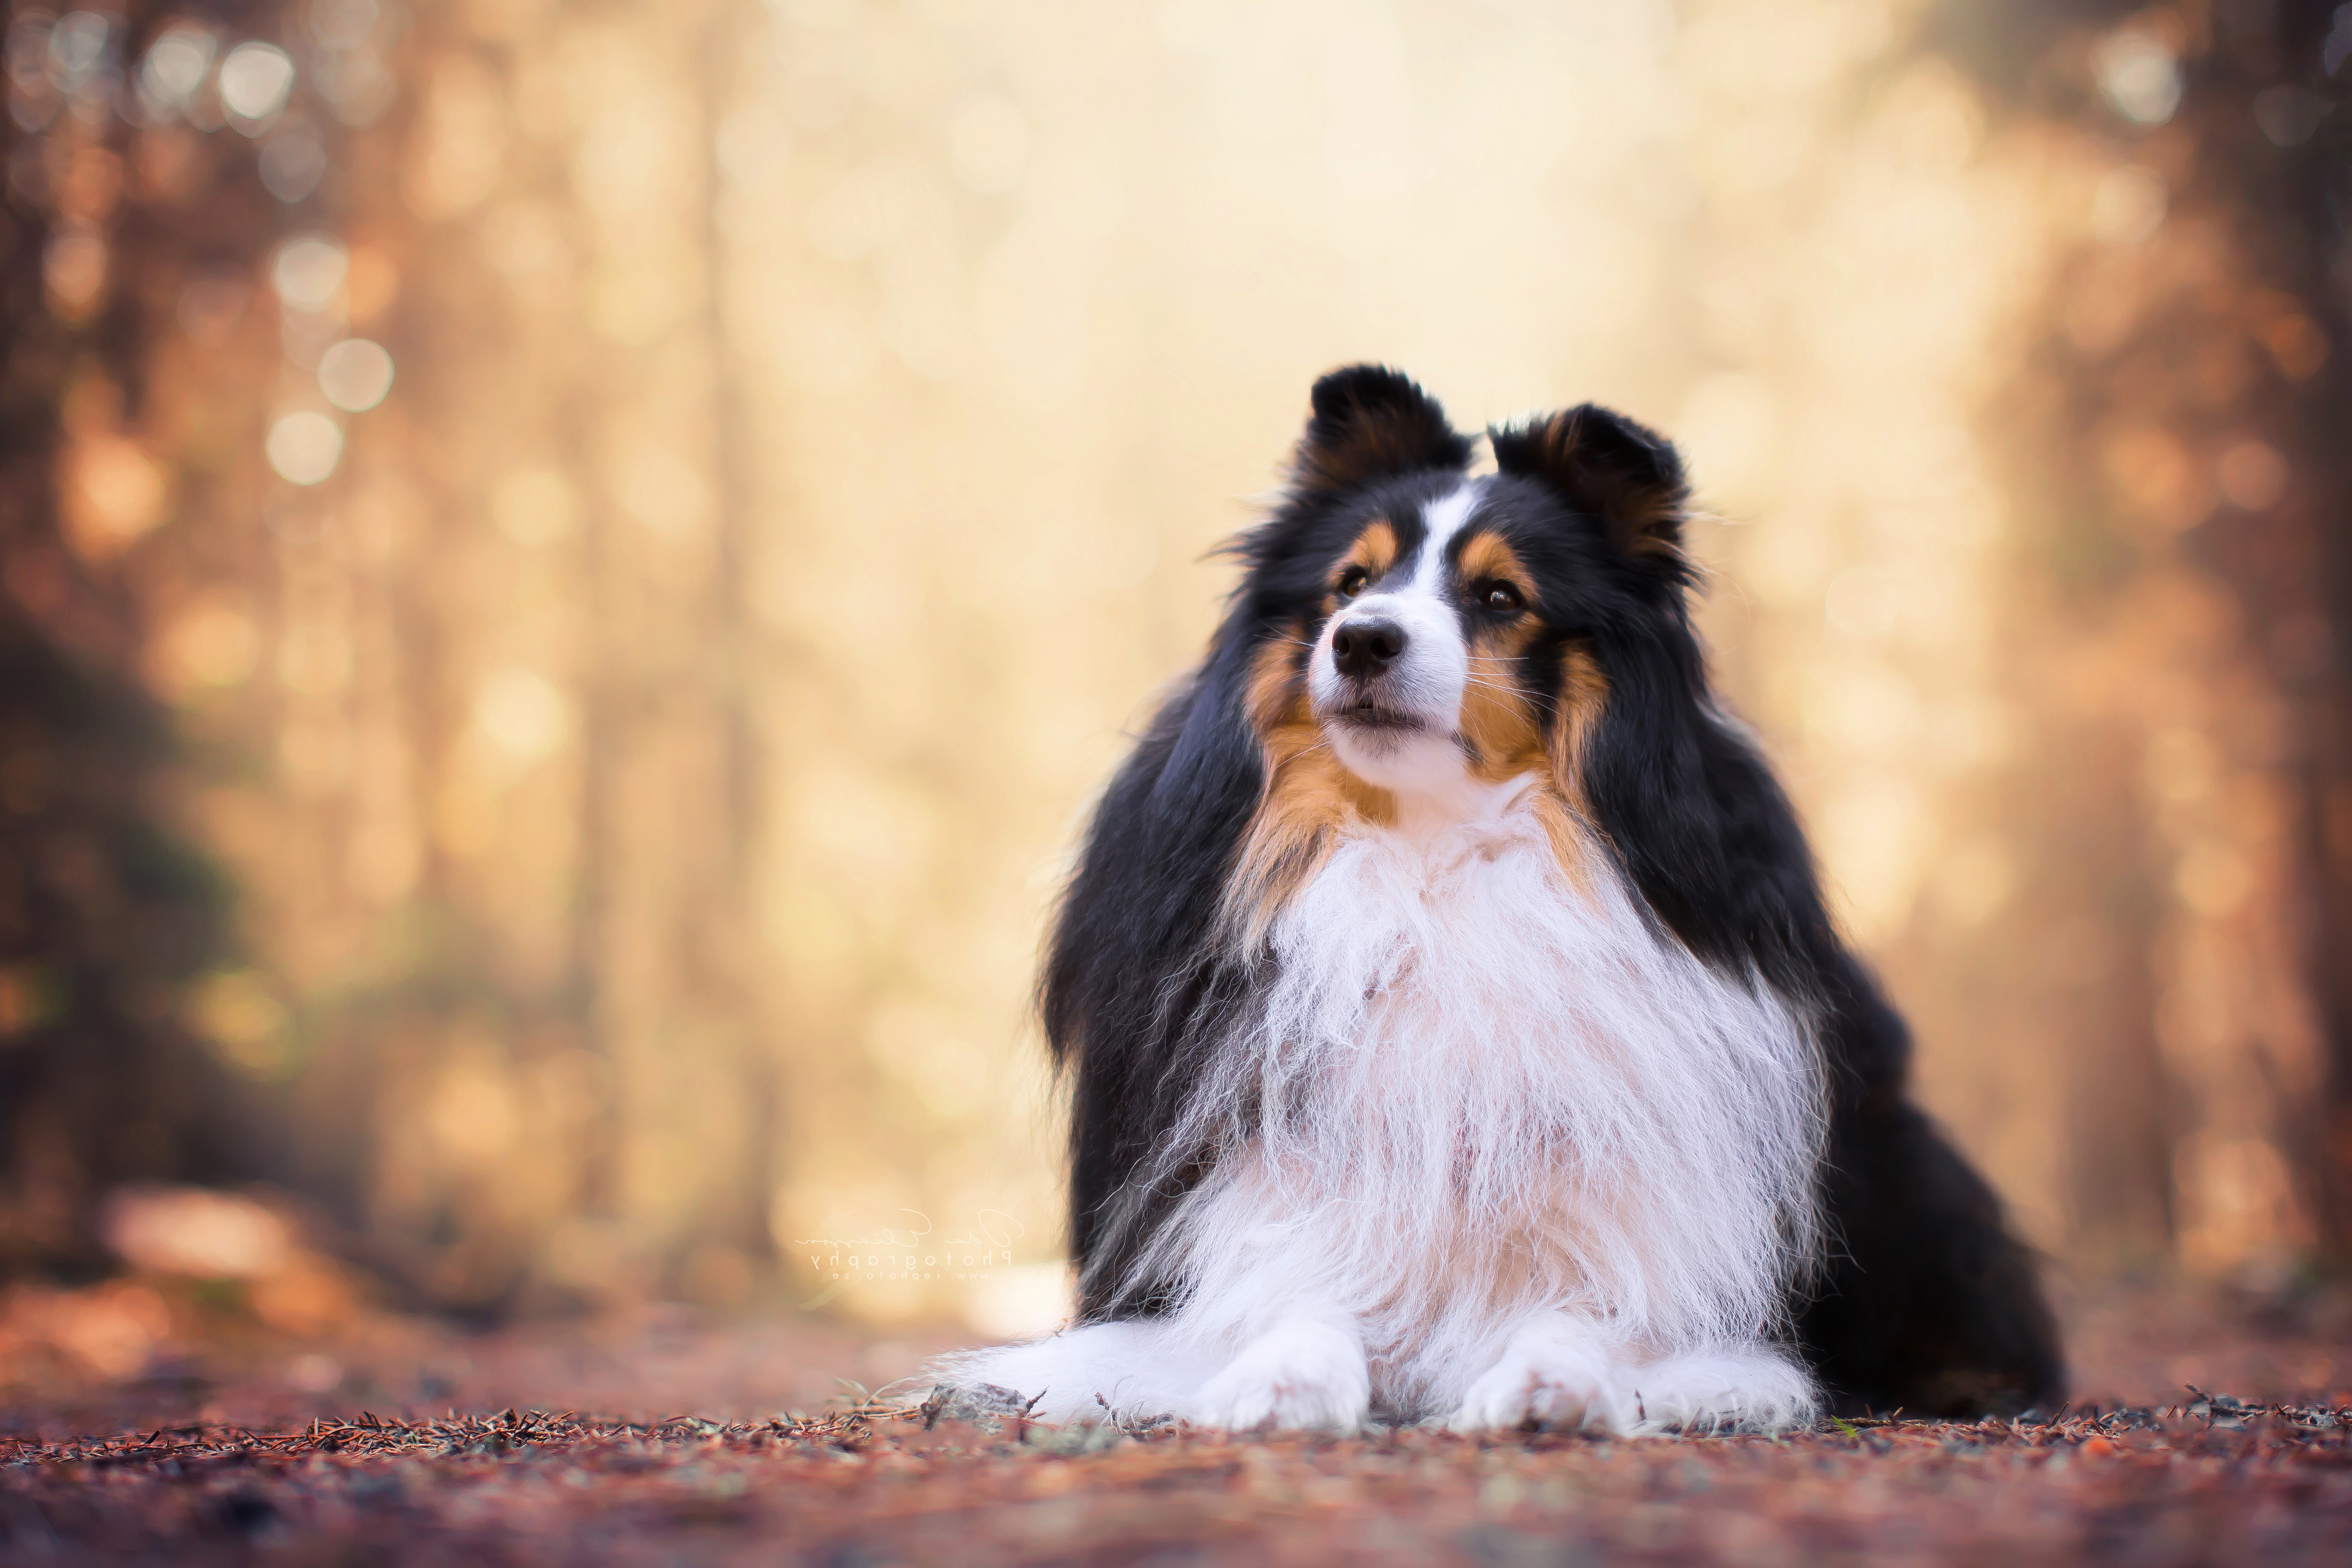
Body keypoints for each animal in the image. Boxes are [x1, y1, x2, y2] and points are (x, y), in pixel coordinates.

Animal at [936, 369, 2060, 1438]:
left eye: (1500, 595)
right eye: (1351, 582)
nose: (1362, 640)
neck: (1435, 854)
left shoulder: (1643, 1213)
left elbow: (1593, 1309)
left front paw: (1547, 1382)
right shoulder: (1260, 1191)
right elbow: (1295, 1293)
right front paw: (1282, 1382)